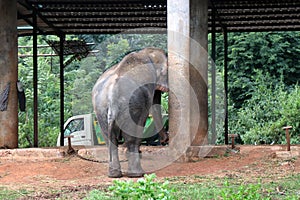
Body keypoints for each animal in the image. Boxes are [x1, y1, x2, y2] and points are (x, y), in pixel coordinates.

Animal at [92, 47, 169, 178]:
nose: (165, 140)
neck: (146, 52)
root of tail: (112, 94)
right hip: (129, 107)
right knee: (131, 137)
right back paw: (137, 174)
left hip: (101, 108)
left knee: (110, 139)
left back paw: (114, 174)